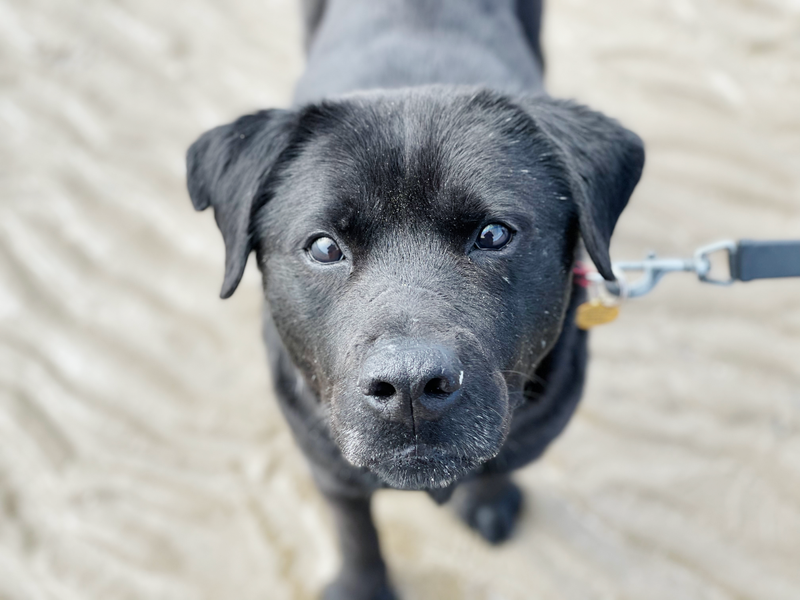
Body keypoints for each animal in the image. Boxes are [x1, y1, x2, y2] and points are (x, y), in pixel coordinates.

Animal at [188, 2, 644, 596]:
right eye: (324, 247)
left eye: (493, 234)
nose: (410, 386)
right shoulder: (325, 460)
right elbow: (354, 526)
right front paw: (361, 586)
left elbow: (498, 462)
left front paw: (488, 501)